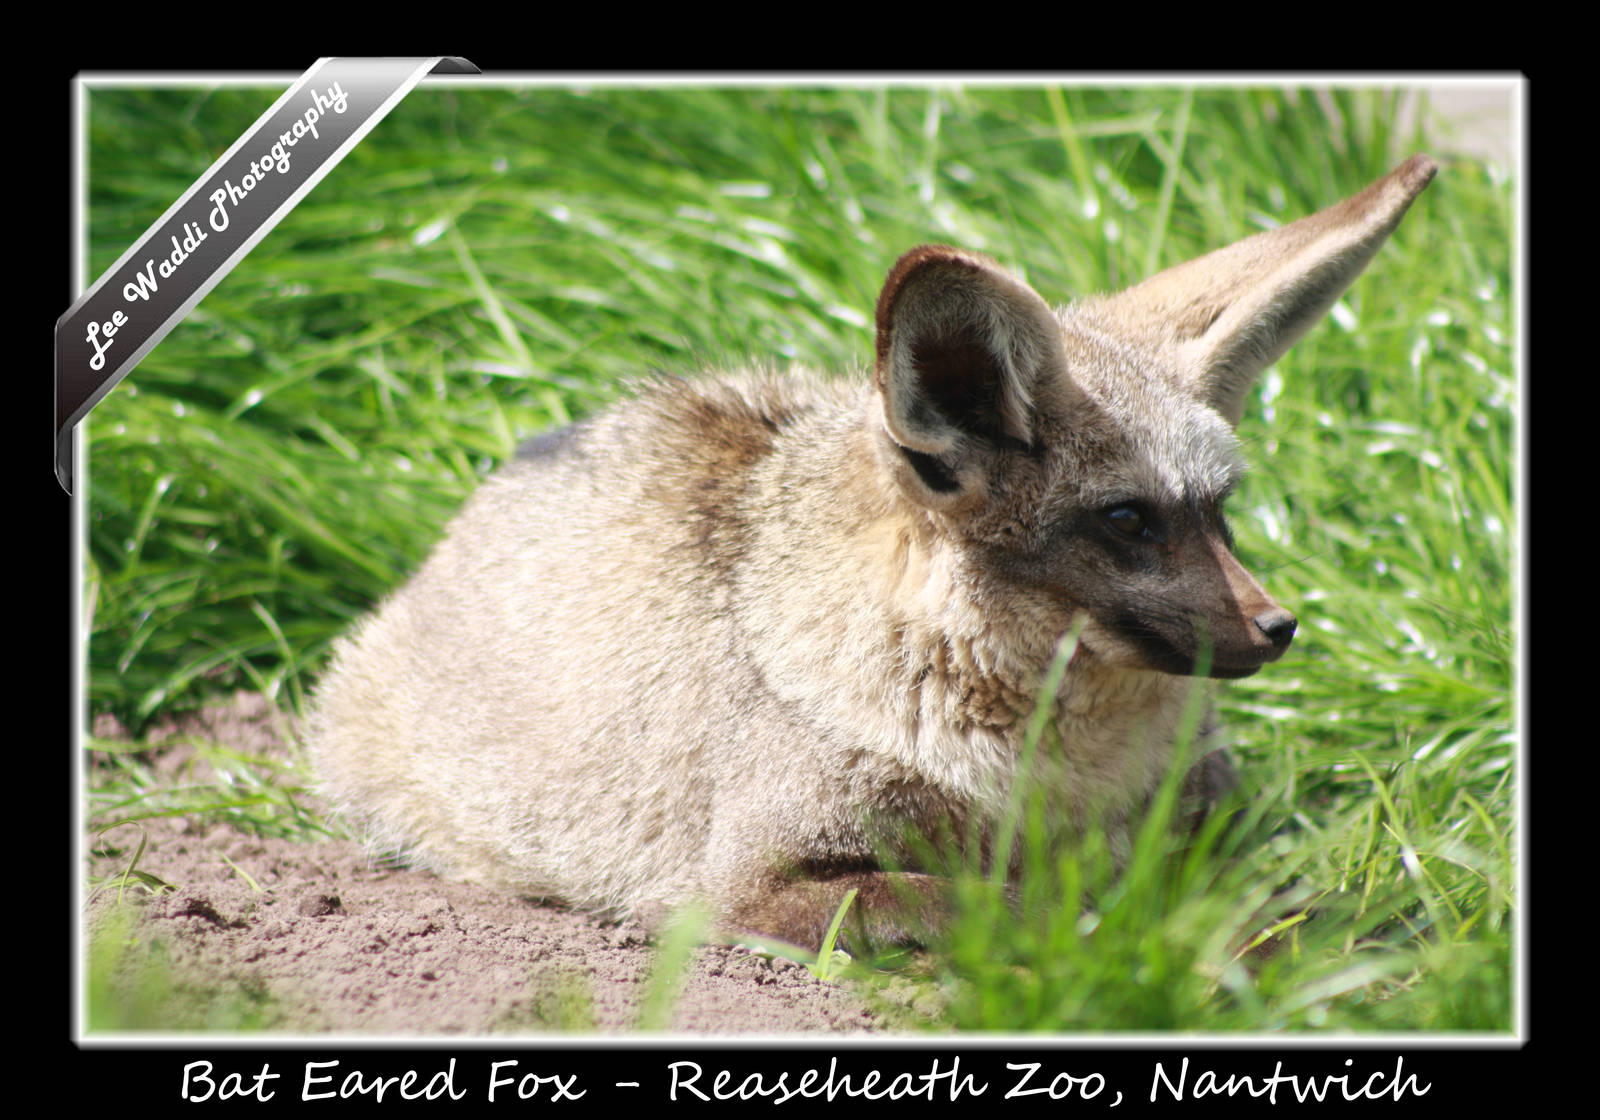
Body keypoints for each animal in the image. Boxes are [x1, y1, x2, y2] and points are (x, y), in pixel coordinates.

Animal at [308, 155, 1436, 953]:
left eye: (1220, 512)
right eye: (1126, 520)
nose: (1279, 627)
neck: (1051, 777)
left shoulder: (1215, 822)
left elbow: (1293, 895)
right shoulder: (748, 885)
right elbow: (1004, 902)